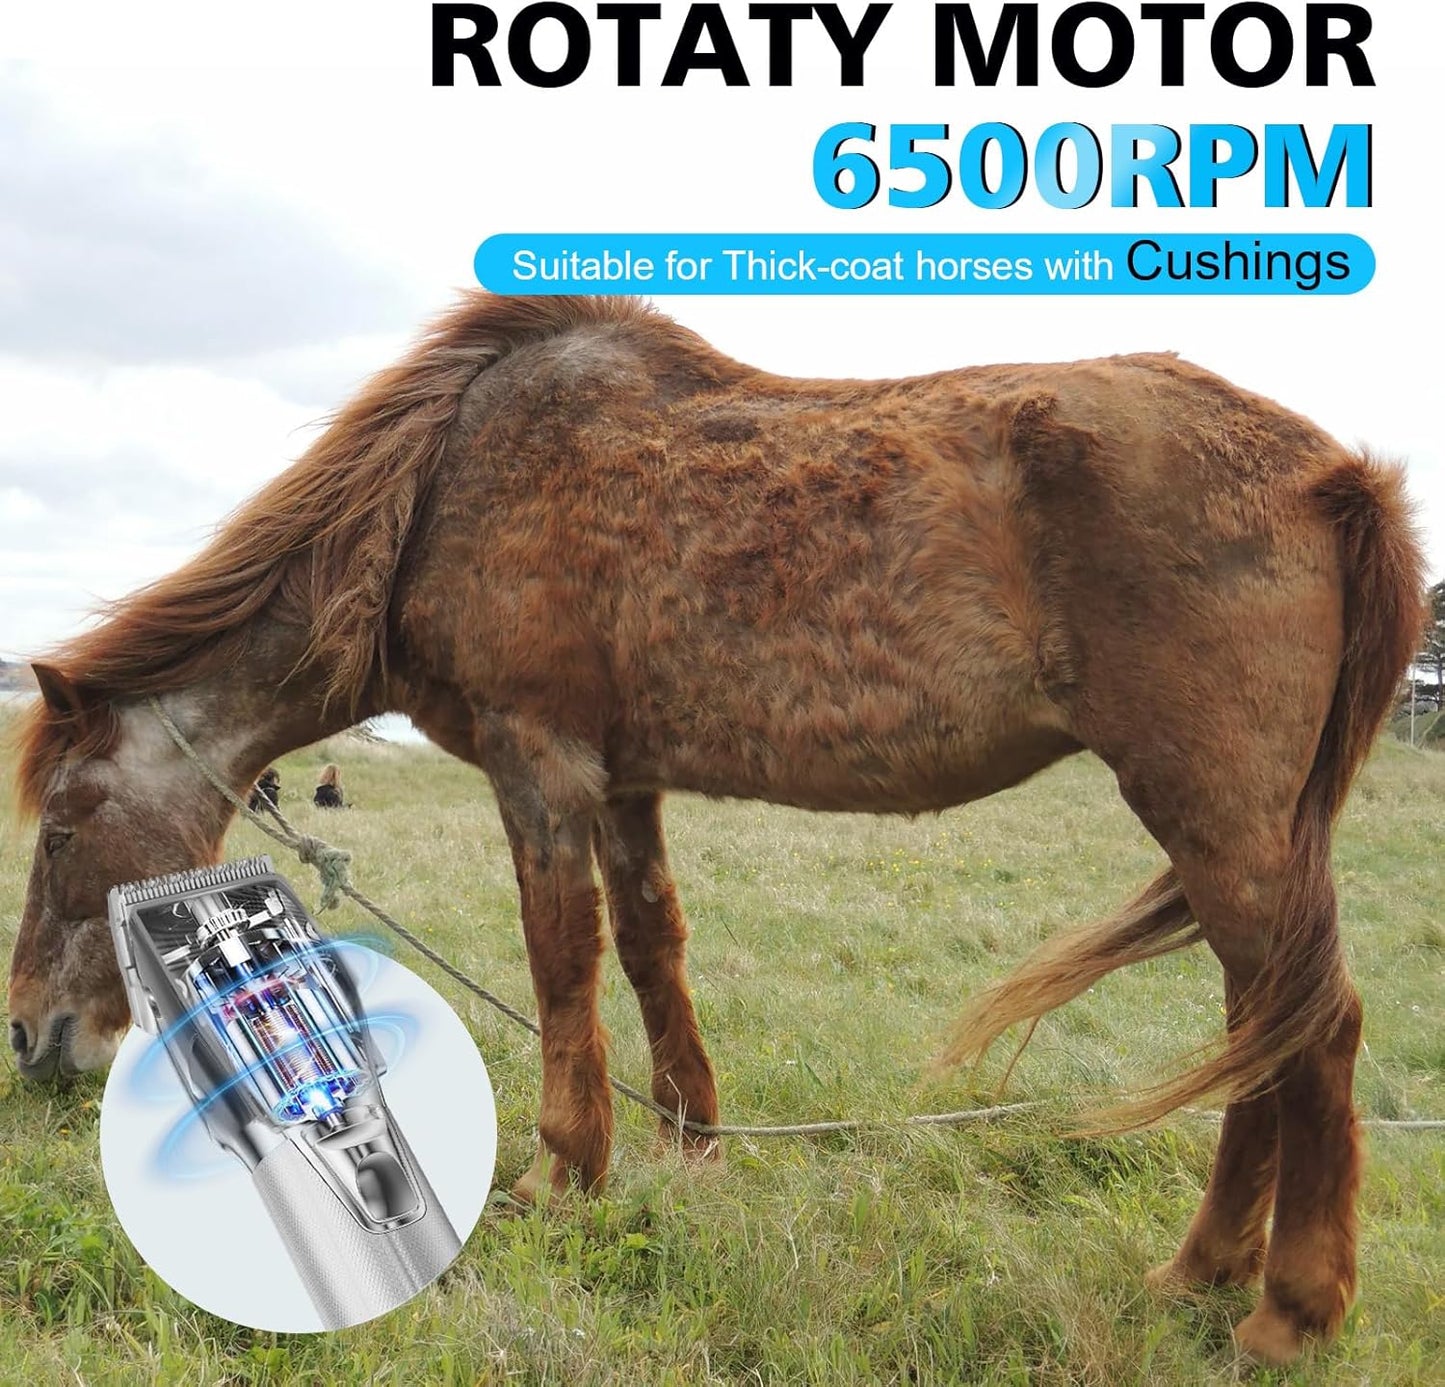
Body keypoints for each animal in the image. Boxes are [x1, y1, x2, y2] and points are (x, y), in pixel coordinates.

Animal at [7, 293, 1424, 1365]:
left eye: (64, 827)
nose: (32, 1039)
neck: (444, 488)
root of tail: (1333, 473)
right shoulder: (624, 783)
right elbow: (650, 950)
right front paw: (686, 1147)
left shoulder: (540, 765)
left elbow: (561, 961)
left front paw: (559, 1174)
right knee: (1260, 1025)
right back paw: (1200, 1271)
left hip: (1213, 812)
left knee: (1314, 1029)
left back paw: (1286, 1312)